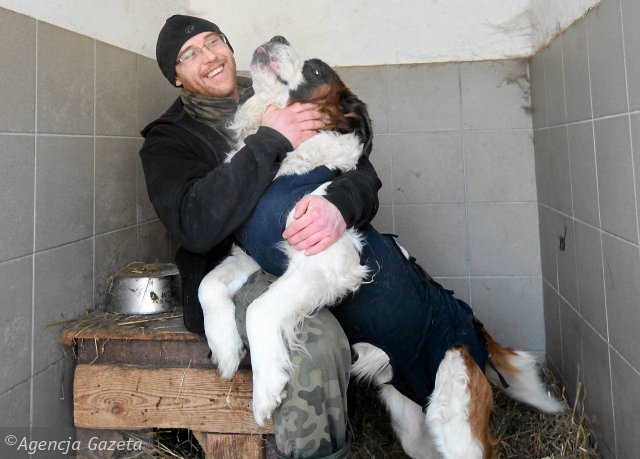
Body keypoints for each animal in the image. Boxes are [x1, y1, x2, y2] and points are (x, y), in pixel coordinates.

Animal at [199, 36, 563, 458]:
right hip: (413, 425)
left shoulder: (327, 260)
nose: (276, 38)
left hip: (455, 421)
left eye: (316, 69)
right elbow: (207, 285)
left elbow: (259, 308)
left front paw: (267, 388)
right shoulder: (252, 256)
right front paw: (225, 351)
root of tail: (475, 330)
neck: (288, 163)